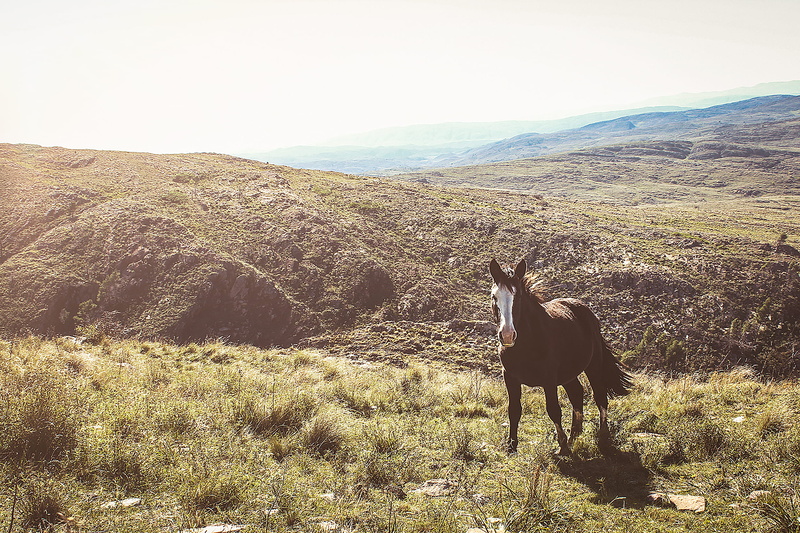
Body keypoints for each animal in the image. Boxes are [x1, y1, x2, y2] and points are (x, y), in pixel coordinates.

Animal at [489, 258, 632, 455]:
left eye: (517, 297)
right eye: (494, 297)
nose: (508, 335)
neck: (528, 343)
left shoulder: (549, 379)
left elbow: (553, 409)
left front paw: (562, 446)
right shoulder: (510, 377)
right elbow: (514, 410)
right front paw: (512, 446)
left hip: (594, 365)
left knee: (600, 396)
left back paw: (603, 436)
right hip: (568, 374)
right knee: (577, 394)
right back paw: (574, 436)